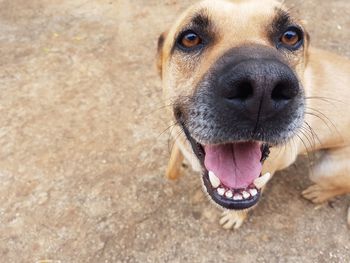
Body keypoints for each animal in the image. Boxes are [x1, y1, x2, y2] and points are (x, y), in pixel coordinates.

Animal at [157, 0, 350, 230]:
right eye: (190, 38)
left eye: (290, 36)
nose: (262, 84)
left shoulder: (265, 173)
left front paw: (236, 217)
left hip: (324, 170)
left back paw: (320, 193)